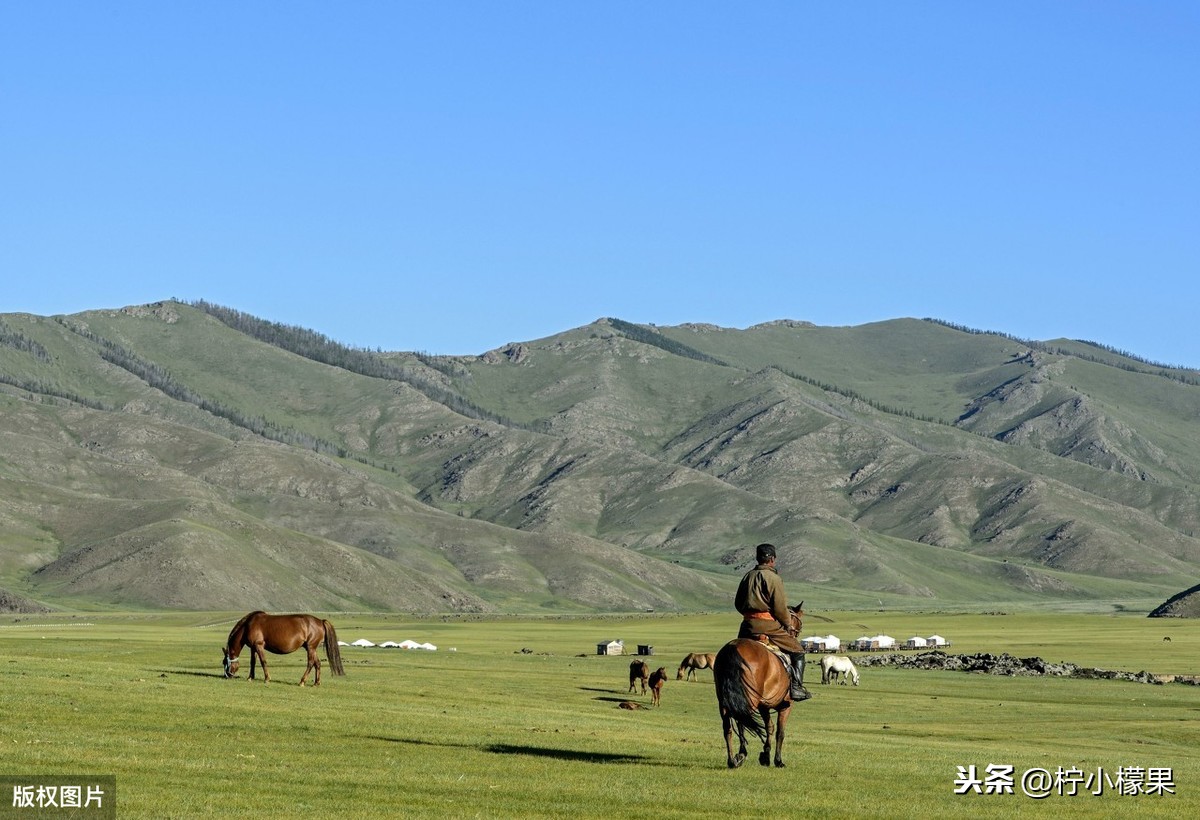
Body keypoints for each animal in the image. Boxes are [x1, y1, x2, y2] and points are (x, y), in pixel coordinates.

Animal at [710, 602, 806, 768]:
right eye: (798, 621)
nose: (796, 632)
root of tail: (733, 647)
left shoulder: (764, 706)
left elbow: (769, 727)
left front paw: (765, 756)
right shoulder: (786, 705)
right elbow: (780, 731)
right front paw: (778, 760)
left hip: (724, 701)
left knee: (728, 727)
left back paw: (732, 760)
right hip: (749, 699)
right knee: (741, 719)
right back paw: (741, 755)